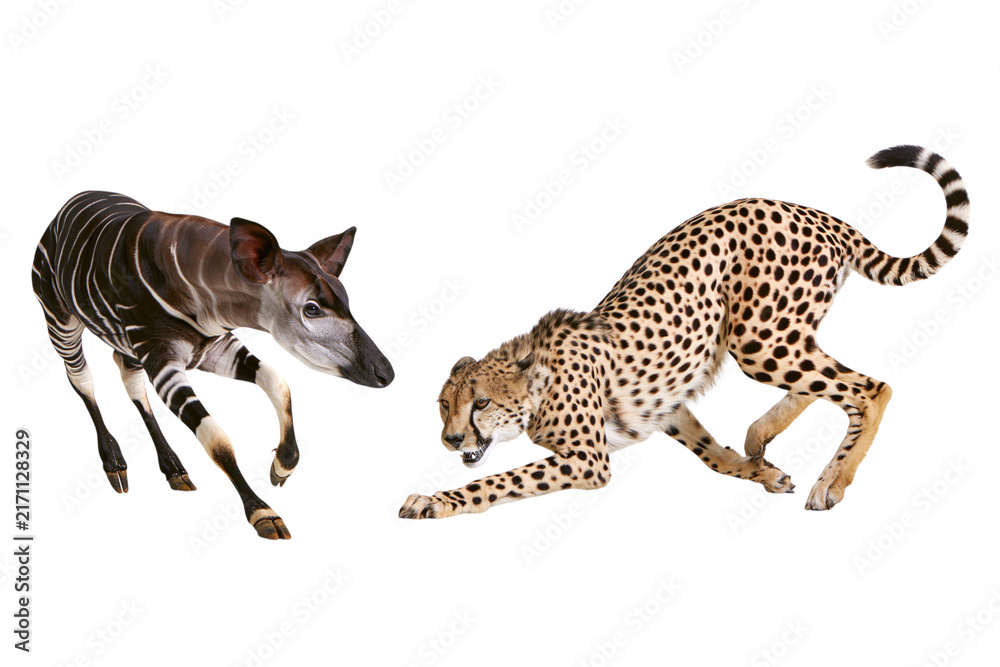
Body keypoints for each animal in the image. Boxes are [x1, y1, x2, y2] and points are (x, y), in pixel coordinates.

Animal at [398, 145, 969, 519]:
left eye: (480, 403)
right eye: (442, 405)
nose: (451, 439)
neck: (536, 380)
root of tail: (810, 211)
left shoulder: (588, 460)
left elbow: (497, 481)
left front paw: (434, 500)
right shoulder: (668, 408)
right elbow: (713, 456)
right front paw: (762, 472)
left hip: (759, 340)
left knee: (869, 388)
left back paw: (832, 482)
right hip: (775, 335)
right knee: (826, 379)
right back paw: (760, 435)